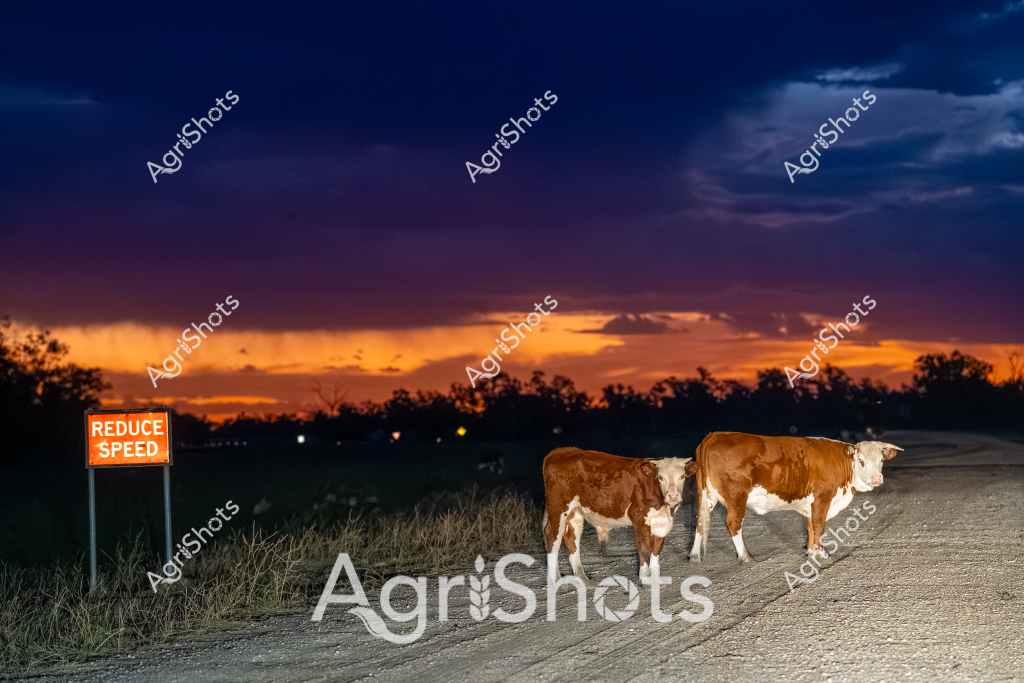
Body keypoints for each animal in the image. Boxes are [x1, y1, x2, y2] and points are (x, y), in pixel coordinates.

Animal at [542, 447, 691, 584]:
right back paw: (554, 580)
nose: (673, 496)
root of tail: (560, 451)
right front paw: (644, 578)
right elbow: (644, 548)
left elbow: (656, 550)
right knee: (553, 535)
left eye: (682, 476)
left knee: (572, 536)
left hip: (575, 511)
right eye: (660, 477)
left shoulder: (661, 522)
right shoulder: (639, 518)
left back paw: (582, 578)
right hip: (558, 507)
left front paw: (655, 578)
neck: (664, 507)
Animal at [686, 432, 902, 564]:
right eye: (861, 460)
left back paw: (694, 556)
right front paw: (819, 553)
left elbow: (810, 526)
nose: (876, 478)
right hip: (737, 498)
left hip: (705, 495)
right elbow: (819, 526)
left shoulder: (811, 502)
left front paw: (811, 551)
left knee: (700, 522)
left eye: (881, 460)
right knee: (733, 524)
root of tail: (715, 435)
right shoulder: (823, 497)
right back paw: (746, 557)